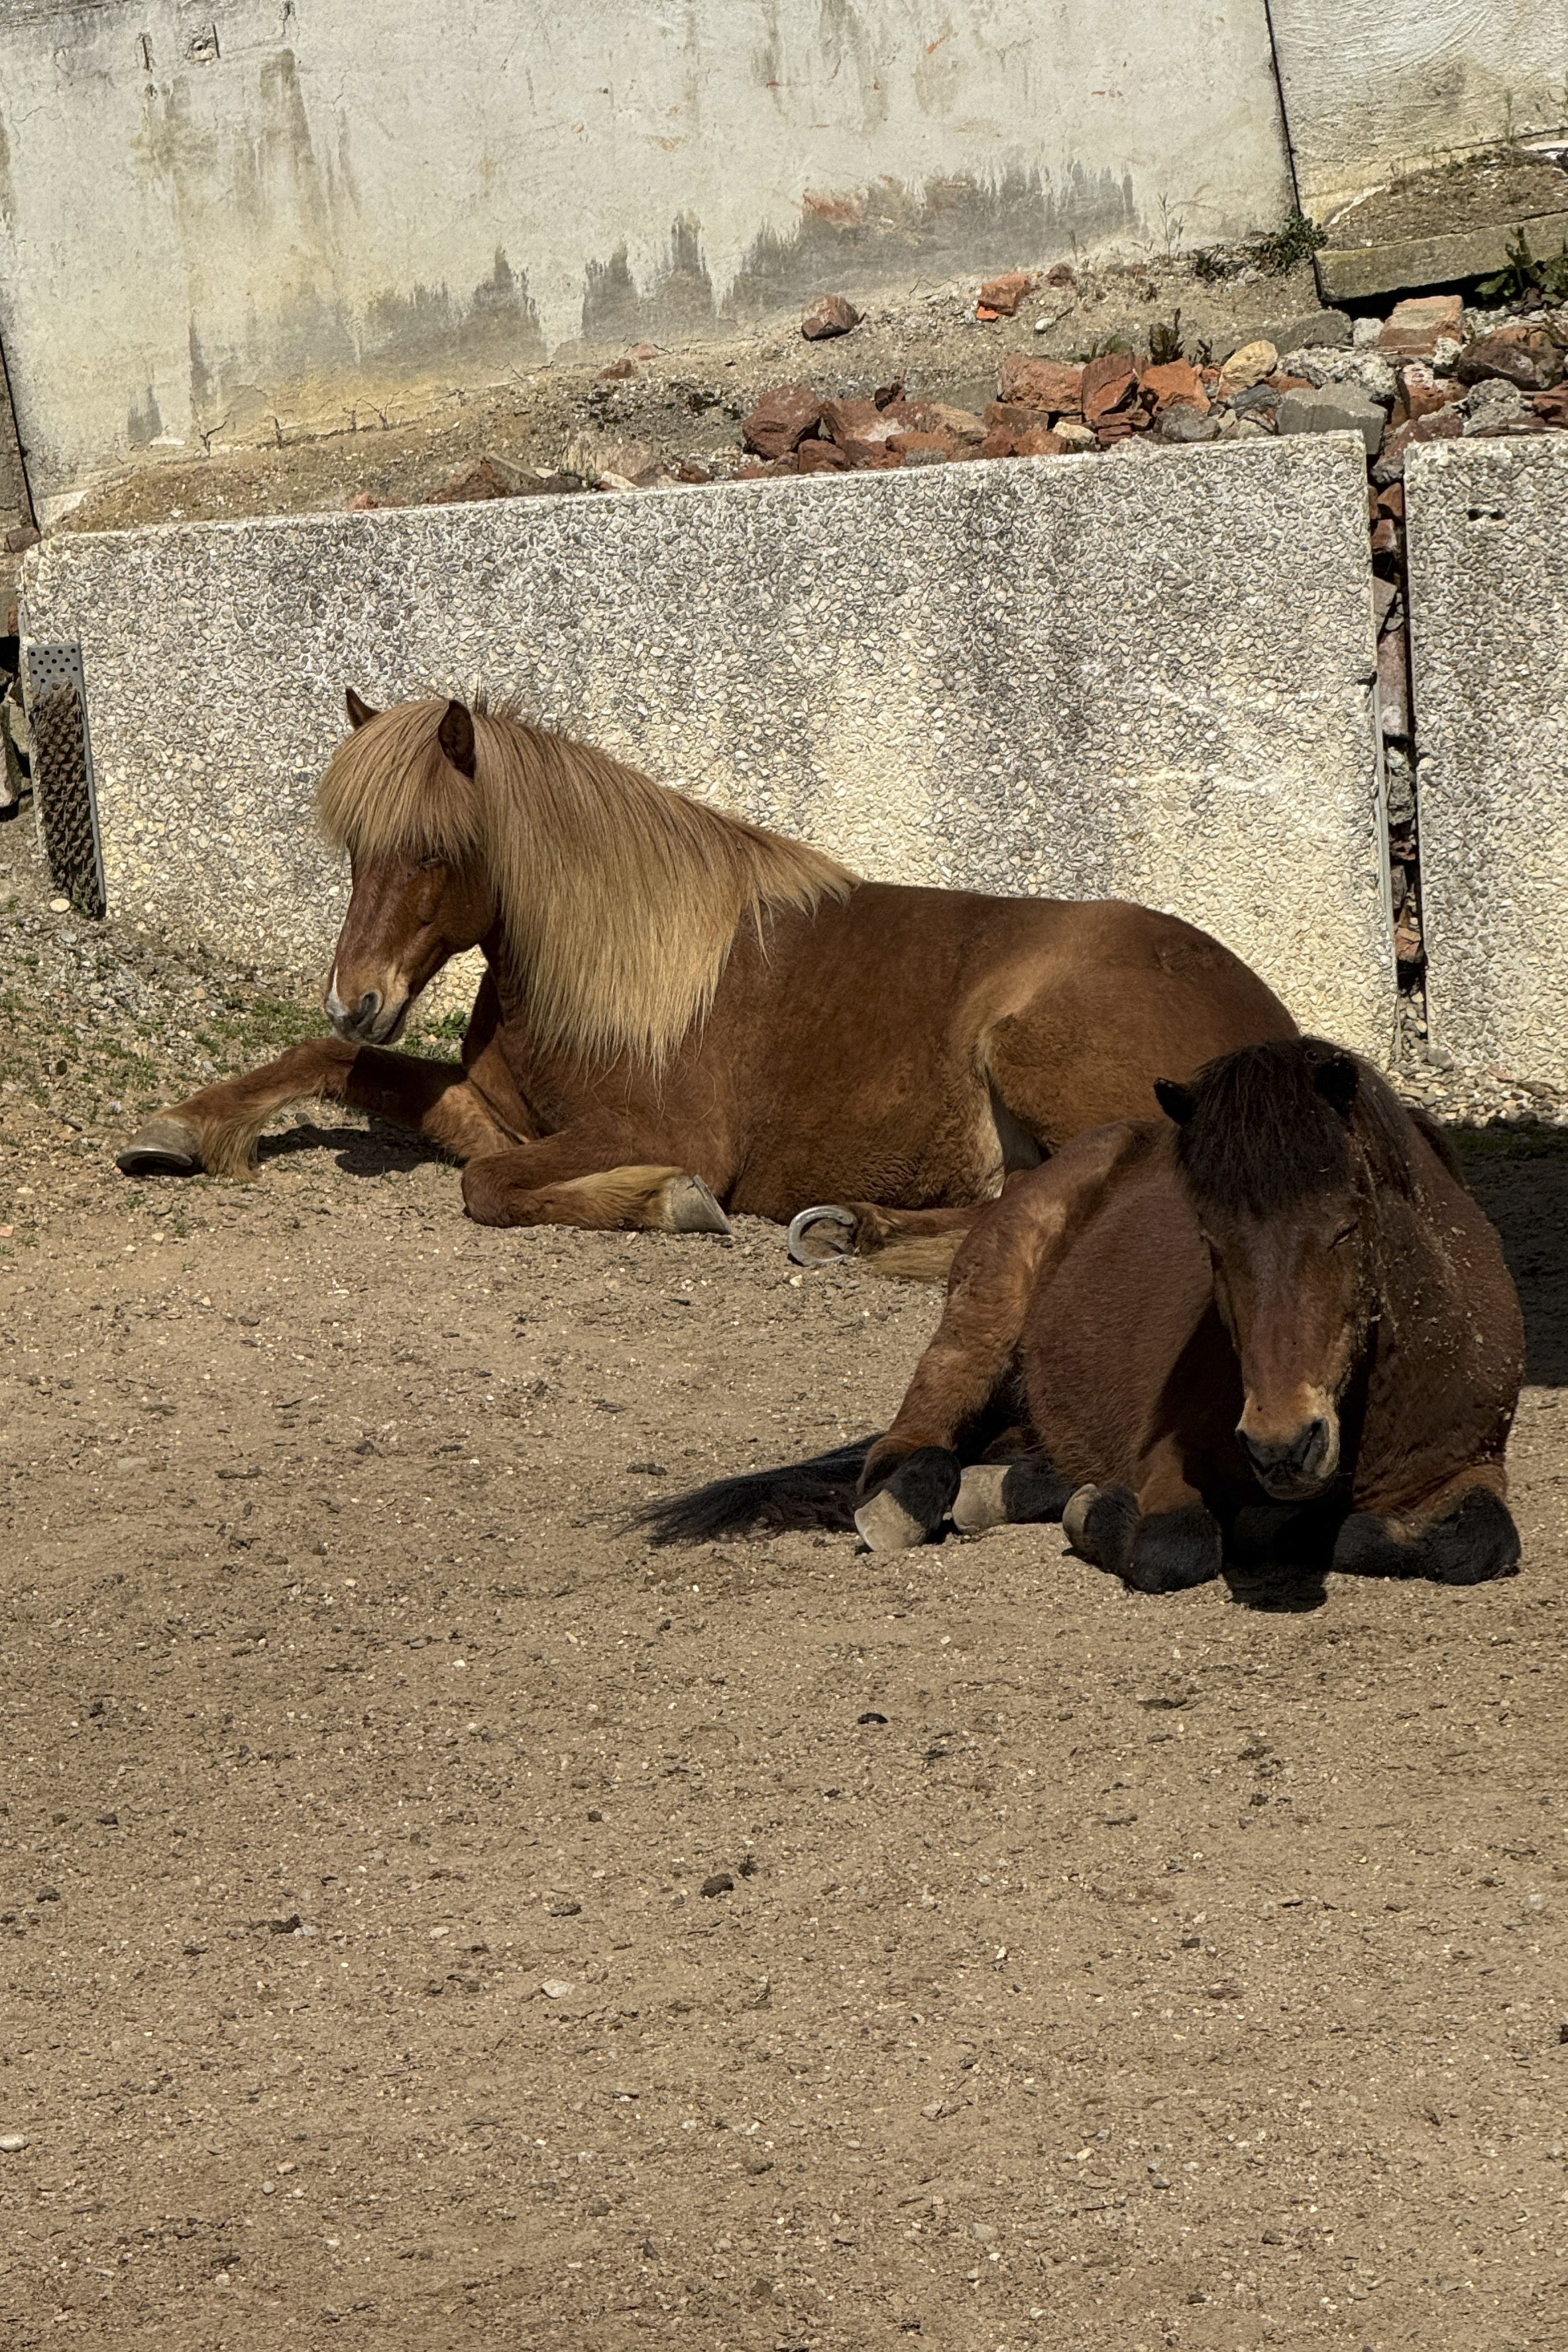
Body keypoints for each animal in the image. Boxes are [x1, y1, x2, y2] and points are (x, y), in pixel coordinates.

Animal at [118, 690, 1298, 1274]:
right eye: (357, 852)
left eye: (435, 853)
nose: (356, 995)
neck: (608, 970)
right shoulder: (490, 1108)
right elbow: (347, 1072)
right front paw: (182, 1128)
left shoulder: (660, 1131)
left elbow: (486, 1187)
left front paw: (667, 1203)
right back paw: (854, 1228)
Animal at [642, 1038, 1524, 1597]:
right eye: (1209, 1240)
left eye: (1345, 1225)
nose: (1281, 1444)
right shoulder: (1170, 1465)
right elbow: (1172, 1546)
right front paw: (1104, 1513)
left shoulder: (1470, 1466)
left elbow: (1477, 1542)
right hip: (983, 1312)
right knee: (907, 1447)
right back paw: (915, 1500)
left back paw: (1004, 1486)